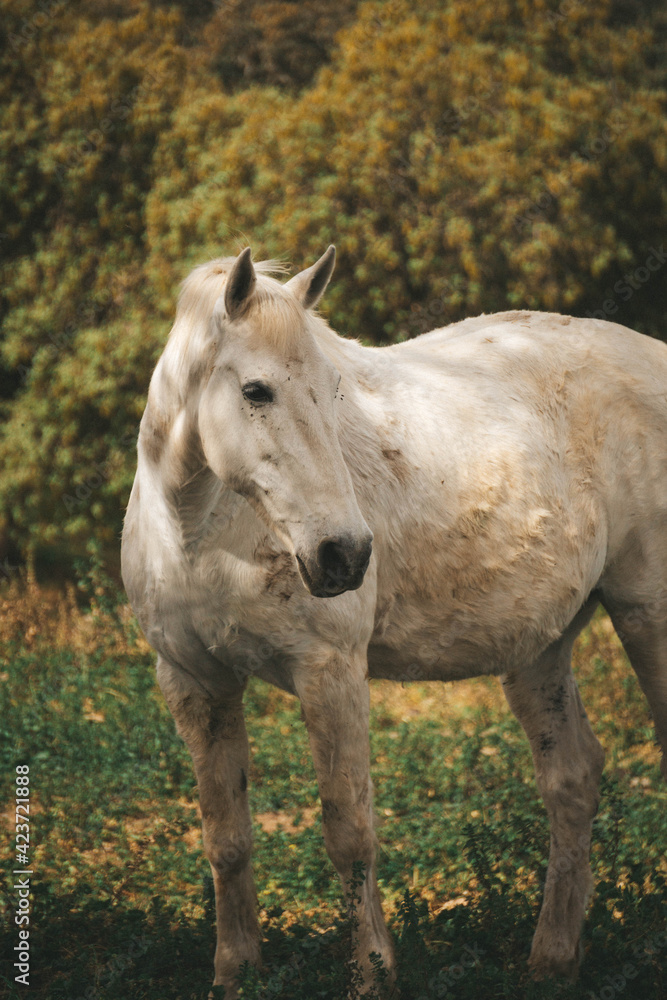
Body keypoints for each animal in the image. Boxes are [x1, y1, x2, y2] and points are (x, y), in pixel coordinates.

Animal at [121, 245, 667, 996]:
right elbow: (225, 837)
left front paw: (373, 975)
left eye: (332, 389)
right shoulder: (194, 682)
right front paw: (234, 972)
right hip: (539, 648)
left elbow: (349, 833)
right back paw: (552, 960)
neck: (199, 532)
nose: (345, 555)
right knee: (572, 779)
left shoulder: (329, 673)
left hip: (647, 612)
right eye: (256, 391)